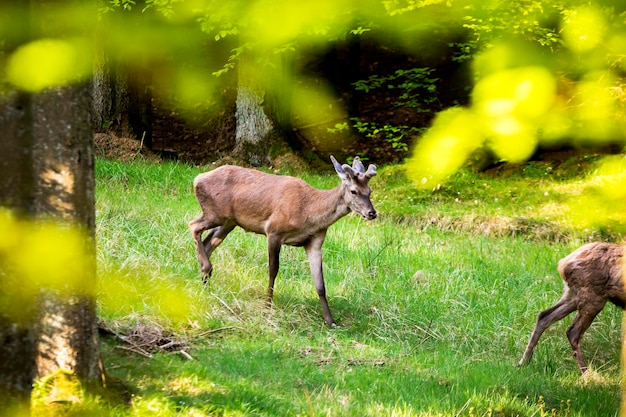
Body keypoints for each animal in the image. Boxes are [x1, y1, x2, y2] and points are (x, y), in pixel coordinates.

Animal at [188, 154, 376, 326]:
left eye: (369, 191)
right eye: (354, 191)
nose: (372, 213)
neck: (309, 212)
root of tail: (197, 179)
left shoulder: (315, 241)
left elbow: (320, 283)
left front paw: (330, 321)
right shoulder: (273, 230)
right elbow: (273, 270)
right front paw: (267, 306)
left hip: (229, 222)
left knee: (207, 243)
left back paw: (205, 282)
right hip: (216, 213)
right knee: (193, 225)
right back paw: (206, 269)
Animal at [516, 240, 624, 374]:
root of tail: (562, 264)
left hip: (572, 295)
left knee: (543, 316)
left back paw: (523, 361)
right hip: (592, 297)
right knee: (572, 332)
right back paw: (586, 373)